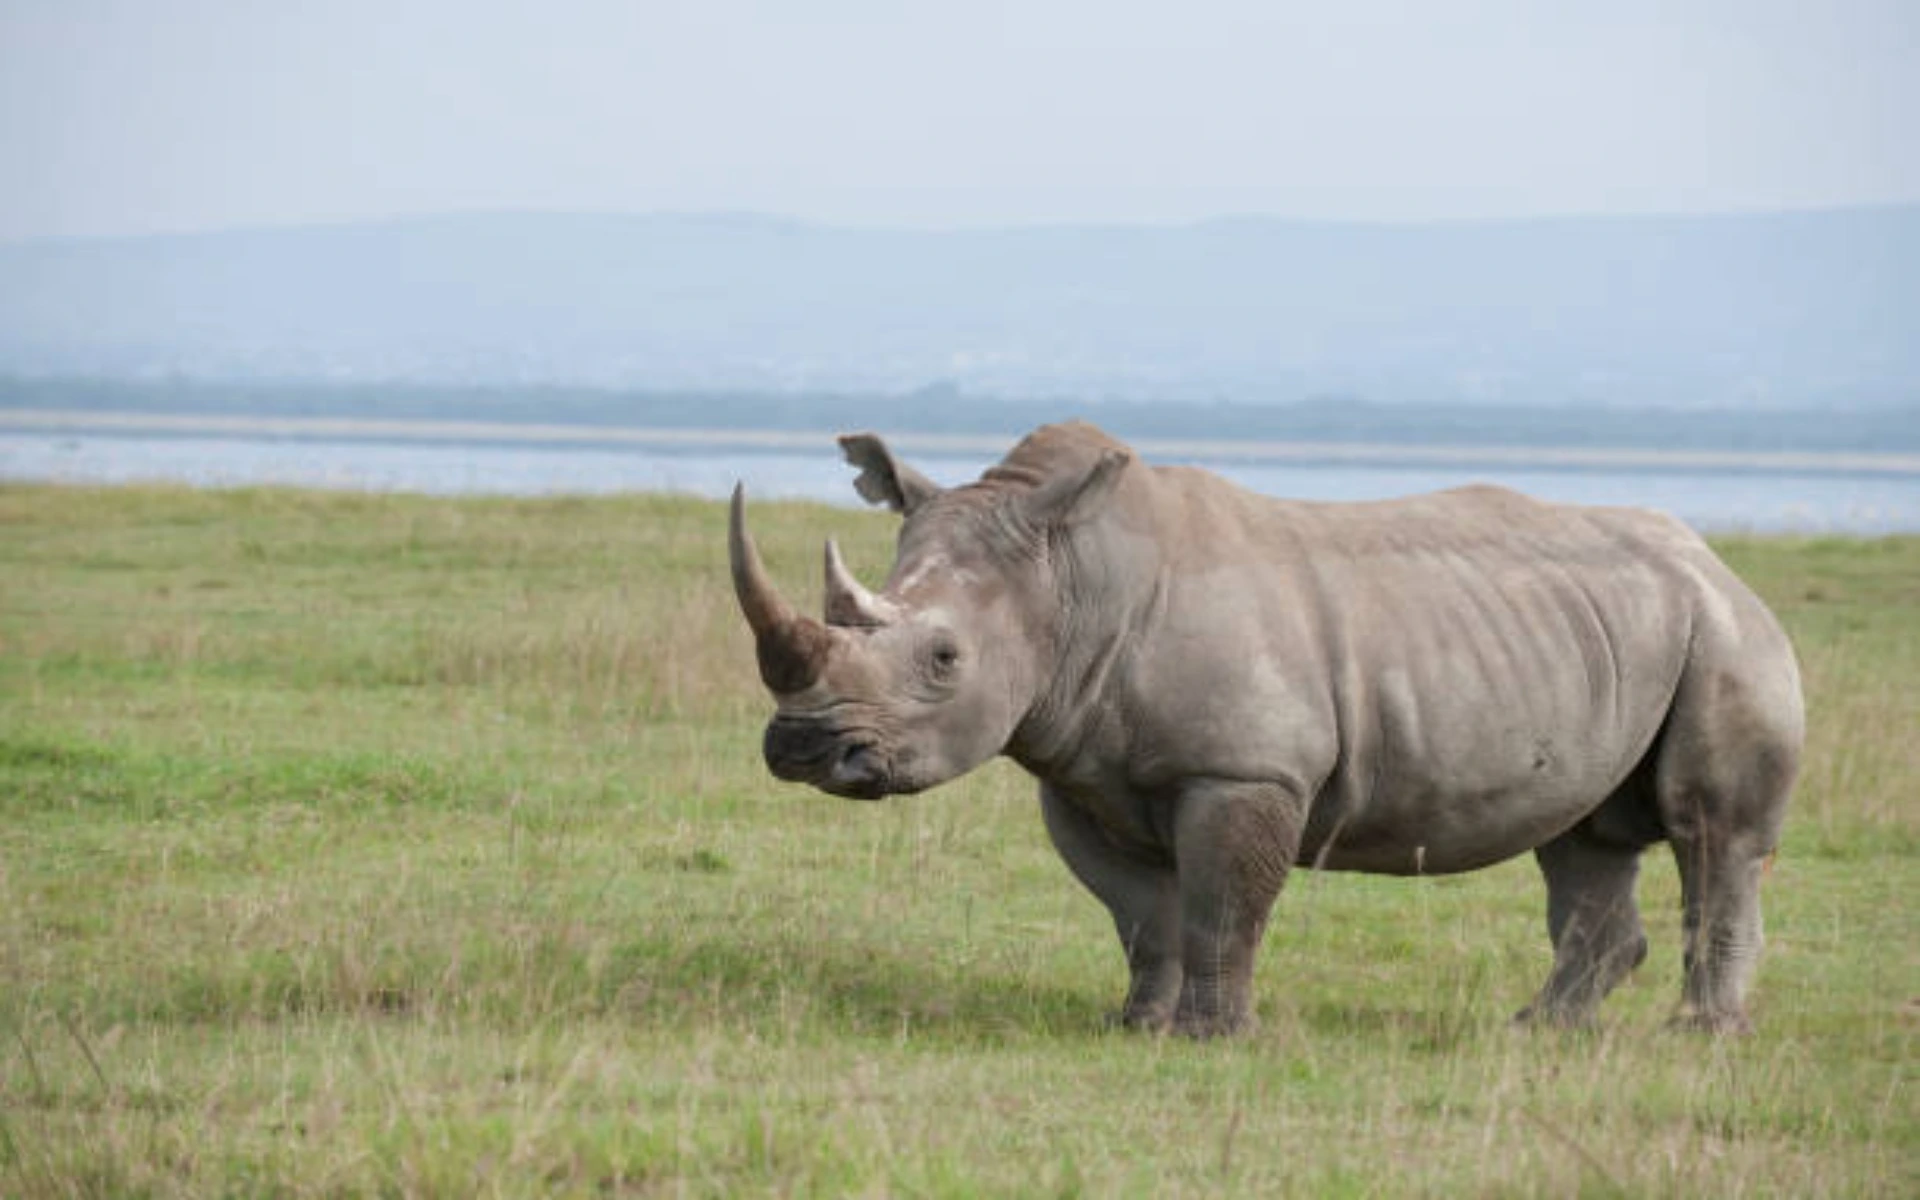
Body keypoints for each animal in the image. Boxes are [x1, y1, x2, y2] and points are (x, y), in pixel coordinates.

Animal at [727, 422, 1802, 1037]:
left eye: (945, 660)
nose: (804, 749)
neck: (1073, 578)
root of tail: (1716, 556)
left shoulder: (1244, 770)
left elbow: (1223, 907)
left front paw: (1214, 1039)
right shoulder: (1078, 773)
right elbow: (1141, 915)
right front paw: (1137, 1026)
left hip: (1728, 631)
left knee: (1713, 833)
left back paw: (1698, 1036)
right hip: (1614, 633)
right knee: (1583, 837)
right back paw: (1537, 1032)